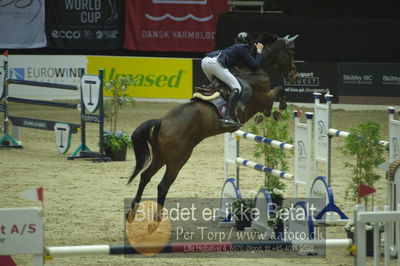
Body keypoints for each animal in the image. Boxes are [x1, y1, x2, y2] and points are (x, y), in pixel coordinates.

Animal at [126, 33, 298, 224]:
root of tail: (162, 122)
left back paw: (132, 212)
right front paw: (278, 109)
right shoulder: (263, 98)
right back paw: (157, 220)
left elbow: (277, 92)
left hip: (160, 156)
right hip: (177, 160)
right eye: (291, 52)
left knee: (144, 176)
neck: (254, 69)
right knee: (162, 185)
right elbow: (279, 91)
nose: (295, 75)